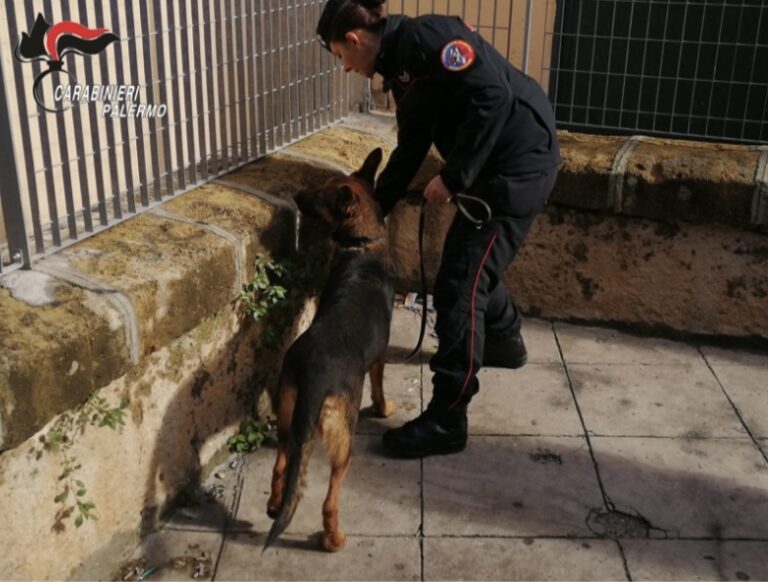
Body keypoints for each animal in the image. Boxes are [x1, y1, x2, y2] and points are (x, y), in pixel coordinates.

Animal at [264, 148, 396, 556]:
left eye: (320, 195)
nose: (296, 197)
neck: (361, 245)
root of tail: (313, 375)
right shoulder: (380, 358)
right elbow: (380, 386)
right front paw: (384, 408)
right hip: (343, 442)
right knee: (329, 499)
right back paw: (333, 539)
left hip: (288, 417)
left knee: (282, 465)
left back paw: (275, 505)